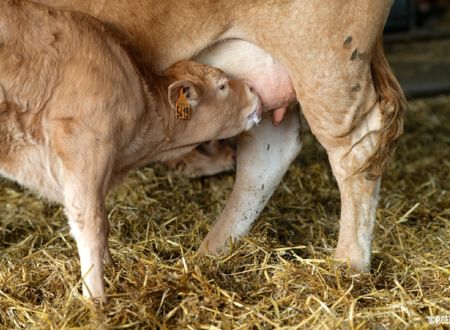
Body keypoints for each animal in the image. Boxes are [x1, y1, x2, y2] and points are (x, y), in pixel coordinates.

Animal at [0, 0, 262, 300]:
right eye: (222, 85)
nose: (254, 89)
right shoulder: (83, 147)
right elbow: (92, 224)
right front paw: (96, 299)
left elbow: (103, 223)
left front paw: (112, 267)